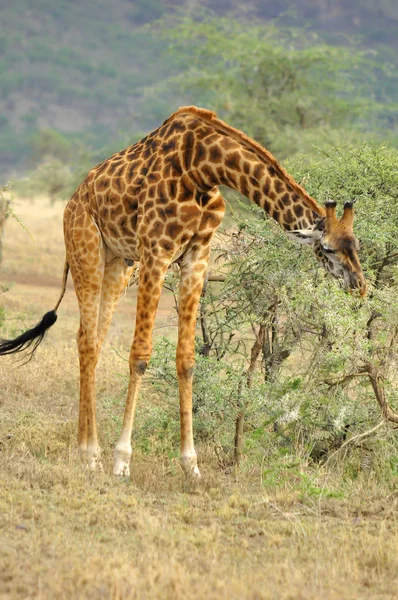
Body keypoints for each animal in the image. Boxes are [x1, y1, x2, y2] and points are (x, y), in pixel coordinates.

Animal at [0, 105, 366, 480]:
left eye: (356, 243)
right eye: (328, 248)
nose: (360, 285)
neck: (204, 166)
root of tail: (72, 201)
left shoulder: (197, 256)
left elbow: (188, 360)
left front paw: (191, 465)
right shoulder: (156, 252)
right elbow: (140, 355)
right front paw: (122, 460)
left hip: (119, 263)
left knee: (92, 339)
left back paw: (86, 447)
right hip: (86, 250)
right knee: (87, 341)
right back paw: (90, 453)